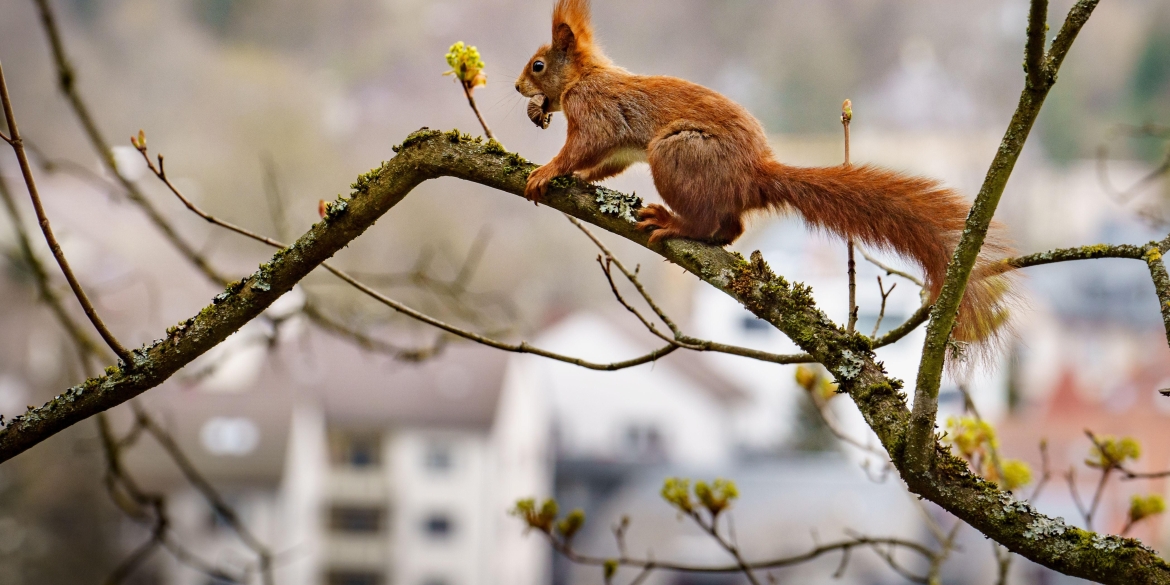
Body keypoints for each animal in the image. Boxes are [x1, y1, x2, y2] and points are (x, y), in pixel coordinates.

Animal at [514, 0, 1015, 346]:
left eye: (538, 65)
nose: (518, 87)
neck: (584, 78)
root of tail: (754, 174)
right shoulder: (618, 149)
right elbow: (607, 163)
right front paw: (583, 181)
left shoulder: (596, 112)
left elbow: (582, 147)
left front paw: (547, 172)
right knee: (732, 228)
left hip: (675, 152)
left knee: (711, 221)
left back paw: (674, 223)